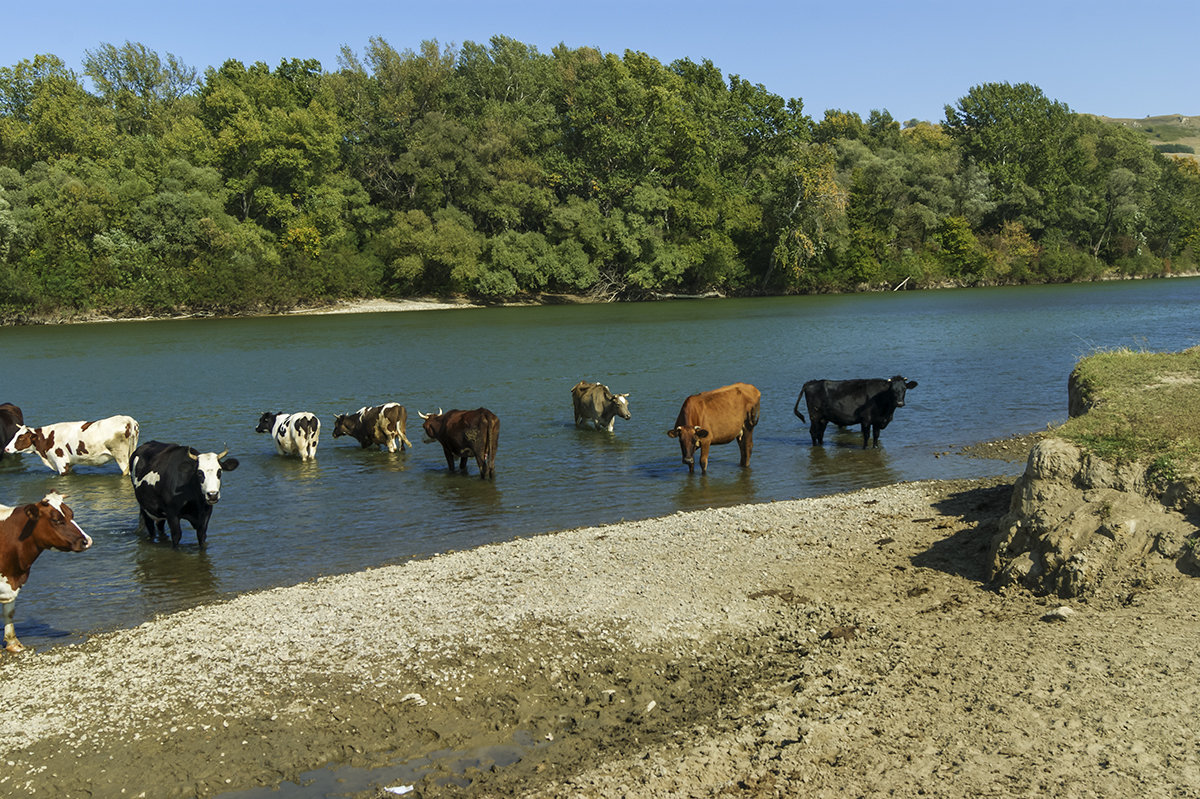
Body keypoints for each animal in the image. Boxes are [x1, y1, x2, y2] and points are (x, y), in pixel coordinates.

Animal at [4, 410, 139, 472]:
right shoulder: (69, 464)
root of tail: (127, 419)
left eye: (21, 437)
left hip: (121, 457)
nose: (6, 448)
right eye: (15, 435)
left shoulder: (61, 462)